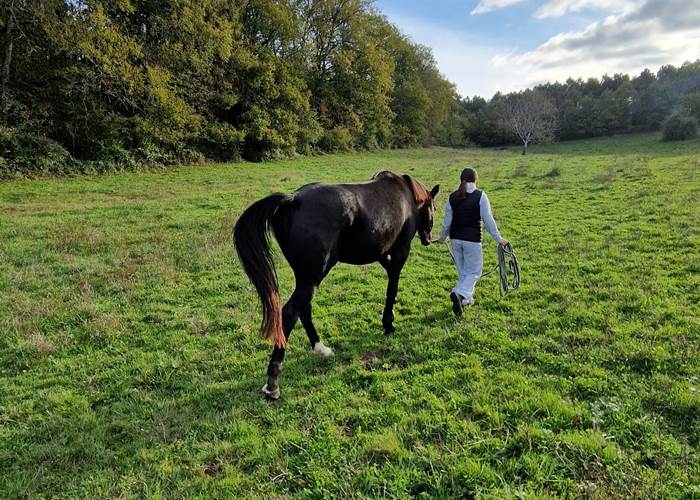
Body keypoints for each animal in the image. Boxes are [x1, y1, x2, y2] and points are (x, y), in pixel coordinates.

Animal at [233, 171, 440, 399]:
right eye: (434, 209)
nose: (428, 239)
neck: (405, 194)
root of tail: (292, 200)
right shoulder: (400, 252)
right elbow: (392, 286)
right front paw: (388, 323)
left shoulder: (382, 254)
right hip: (313, 277)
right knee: (290, 312)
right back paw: (273, 382)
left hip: (307, 278)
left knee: (304, 309)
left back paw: (319, 347)